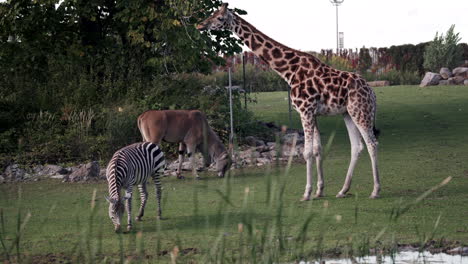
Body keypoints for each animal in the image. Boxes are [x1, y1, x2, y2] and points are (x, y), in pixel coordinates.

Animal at [197, 3, 380, 200]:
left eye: (219, 17)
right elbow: (317, 149)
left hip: (361, 111)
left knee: (372, 143)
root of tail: (372, 93)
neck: (288, 71)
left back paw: (375, 190)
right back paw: (343, 190)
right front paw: (319, 191)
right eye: (212, 13)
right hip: (348, 113)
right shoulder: (313, 113)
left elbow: (307, 152)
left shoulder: (305, 110)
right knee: (357, 146)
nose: (200, 25)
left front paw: (306, 193)